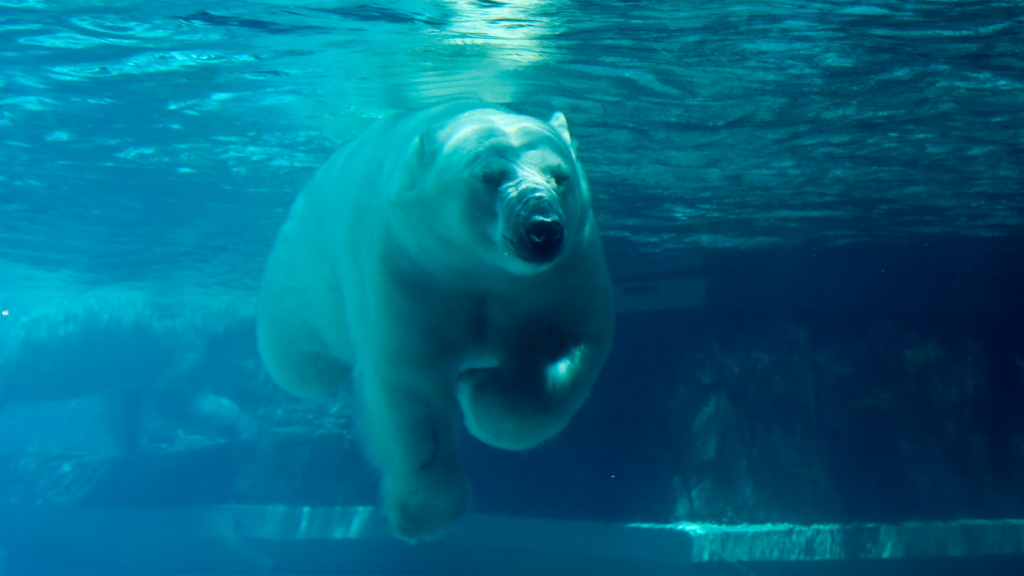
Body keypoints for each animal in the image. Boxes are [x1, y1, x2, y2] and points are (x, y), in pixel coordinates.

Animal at [256, 101, 615, 542]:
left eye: (559, 176)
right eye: (489, 176)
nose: (543, 230)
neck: (479, 269)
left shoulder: (566, 272)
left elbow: (574, 343)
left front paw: (480, 391)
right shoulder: (406, 267)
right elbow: (410, 390)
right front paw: (423, 514)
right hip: (298, 277)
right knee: (301, 367)